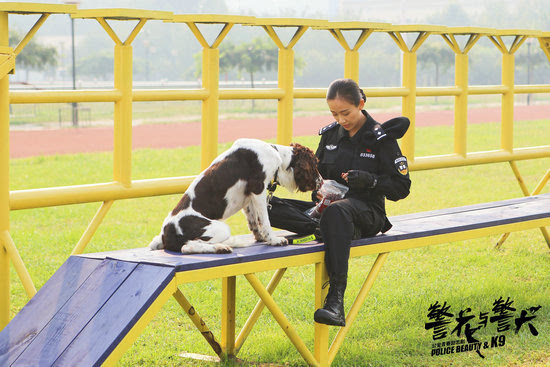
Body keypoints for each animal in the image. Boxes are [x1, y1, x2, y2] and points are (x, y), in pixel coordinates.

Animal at [149, 137, 322, 254]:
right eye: (315, 165)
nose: (321, 182)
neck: (278, 156)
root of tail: (166, 235)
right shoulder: (258, 189)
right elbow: (265, 220)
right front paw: (273, 240)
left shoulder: (249, 197)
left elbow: (254, 221)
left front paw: (261, 238)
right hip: (220, 228)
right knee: (187, 246)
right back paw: (221, 247)